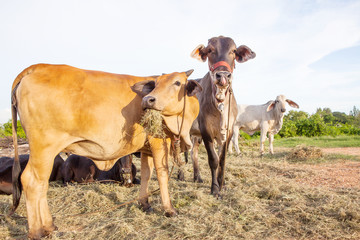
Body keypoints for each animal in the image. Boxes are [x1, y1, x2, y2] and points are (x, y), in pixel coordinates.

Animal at [11, 63, 201, 238]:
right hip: (44, 148)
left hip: (47, 154)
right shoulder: (158, 141)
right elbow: (162, 174)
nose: (148, 100)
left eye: (177, 82)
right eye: (156, 83)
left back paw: (49, 226)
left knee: (42, 184)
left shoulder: (146, 148)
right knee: (32, 182)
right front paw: (169, 209)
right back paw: (36, 231)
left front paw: (144, 203)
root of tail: (36, 68)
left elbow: (146, 174)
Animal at [188, 36, 256, 195]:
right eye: (210, 50)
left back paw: (197, 177)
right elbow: (213, 160)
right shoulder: (206, 130)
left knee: (193, 152)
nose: (223, 75)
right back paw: (180, 174)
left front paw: (222, 184)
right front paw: (215, 189)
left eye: (233, 51)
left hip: (195, 135)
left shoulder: (228, 130)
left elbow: (222, 159)